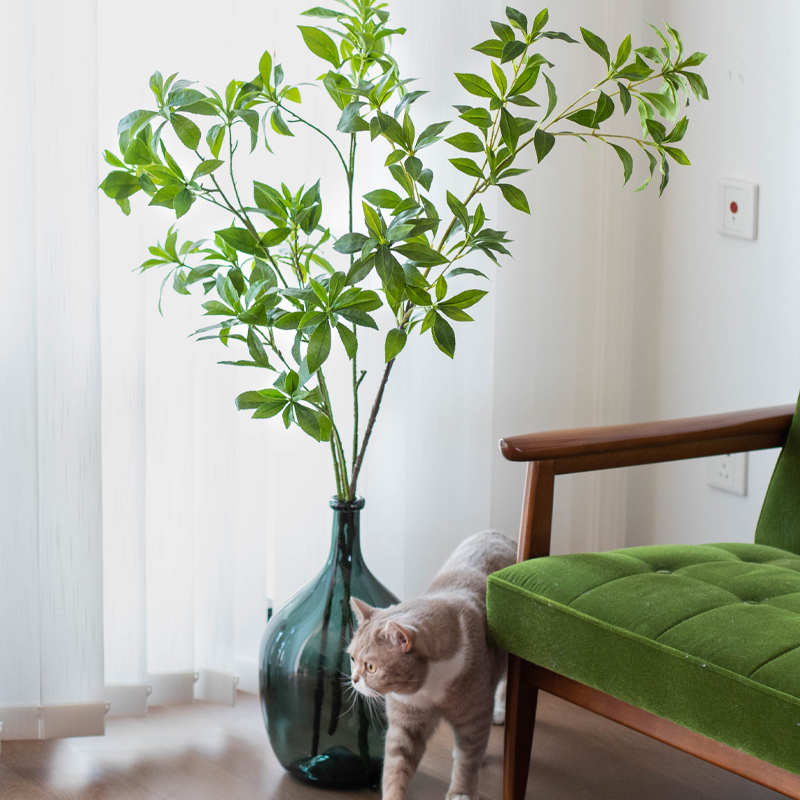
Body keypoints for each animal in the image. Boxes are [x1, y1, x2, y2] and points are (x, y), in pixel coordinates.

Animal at [346, 532, 516, 800]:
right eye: (352, 659)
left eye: (371, 667)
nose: (353, 679)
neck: (429, 687)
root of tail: (497, 534)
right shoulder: (405, 722)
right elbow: (396, 766)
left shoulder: (474, 716)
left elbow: (468, 760)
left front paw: (461, 792)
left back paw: (499, 711)